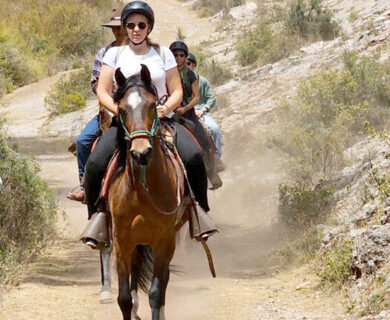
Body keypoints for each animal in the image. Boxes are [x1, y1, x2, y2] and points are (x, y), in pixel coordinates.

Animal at [106, 65, 186, 320]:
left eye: (152, 105)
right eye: (122, 109)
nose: (141, 153)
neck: (141, 193)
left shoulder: (163, 241)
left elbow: (156, 293)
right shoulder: (122, 241)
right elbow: (124, 298)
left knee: (162, 285)